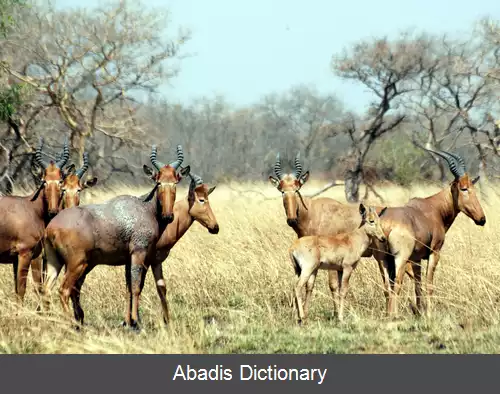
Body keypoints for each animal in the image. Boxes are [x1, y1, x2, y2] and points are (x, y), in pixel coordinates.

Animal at [0, 137, 72, 304]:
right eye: (44, 181)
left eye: (60, 181)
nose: (53, 211)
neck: (30, 208)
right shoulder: (24, 253)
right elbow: (21, 290)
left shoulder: (26, 257)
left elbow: (30, 288)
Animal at [40, 143, 189, 328]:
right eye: (159, 182)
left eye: (175, 182)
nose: (168, 216)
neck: (145, 207)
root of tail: (51, 227)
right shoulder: (138, 253)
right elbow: (136, 287)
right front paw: (135, 321)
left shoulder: (128, 258)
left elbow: (128, 288)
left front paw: (128, 322)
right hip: (77, 263)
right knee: (64, 289)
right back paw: (73, 324)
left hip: (54, 261)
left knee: (47, 288)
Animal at [120, 172, 220, 326]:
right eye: (201, 199)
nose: (215, 227)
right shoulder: (145, 260)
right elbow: (137, 286)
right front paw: (132, 321)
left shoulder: (154, 261)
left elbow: (160, 287)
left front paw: (166, 320)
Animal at [374, 145, 486, 318]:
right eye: (464, 188)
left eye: (473, 188)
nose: (481, 219)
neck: (433, 208)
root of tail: (387, 224)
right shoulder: (434, 252)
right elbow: (429, 284)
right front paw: (429, 314)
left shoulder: (416, 259)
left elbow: (418, 285)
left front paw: (420, 312)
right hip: (400, 258)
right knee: (397, 285)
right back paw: (394, 315)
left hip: (383, 260)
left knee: (387, 286)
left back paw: (388, 315)